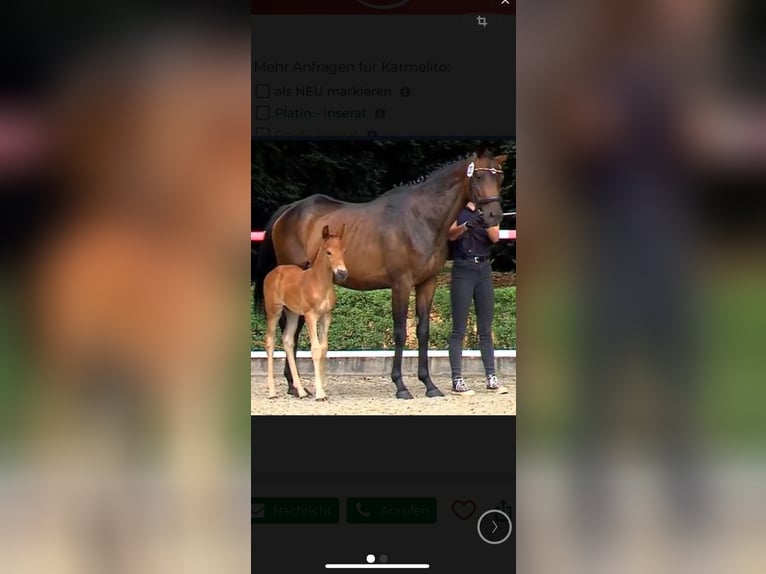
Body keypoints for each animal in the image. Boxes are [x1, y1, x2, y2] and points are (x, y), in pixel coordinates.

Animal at [263, 225, 348, 400]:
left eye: (344, 250)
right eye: (329, 252)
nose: (343, 273)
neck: (319, 283)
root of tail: (274, 272)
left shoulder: (326, 316)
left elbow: (324, 348)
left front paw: (322, 388)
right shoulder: (310, 316)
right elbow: (315, 349)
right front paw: (320, 394)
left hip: (292, 314)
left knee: (288, 341)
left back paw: (301, 392)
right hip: (274, 311)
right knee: (270, 341)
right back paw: (272, 392)